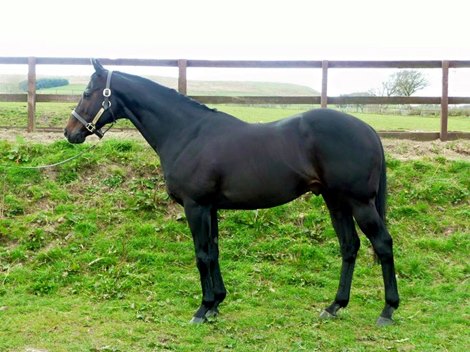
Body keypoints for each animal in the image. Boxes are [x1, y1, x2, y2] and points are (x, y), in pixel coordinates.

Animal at [64, 59, 398, 326]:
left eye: (87, 93)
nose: (70, 132)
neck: (187, 133)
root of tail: (368, 130)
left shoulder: (195, 206)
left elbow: (201, 254)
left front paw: (203, 309)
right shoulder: (210, 208)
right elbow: (213, 252)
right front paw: (217, 303)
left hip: (359, 203)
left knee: (382, 244)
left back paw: (387, 310)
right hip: (336, 201)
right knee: (349, 247)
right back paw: (334, 306)